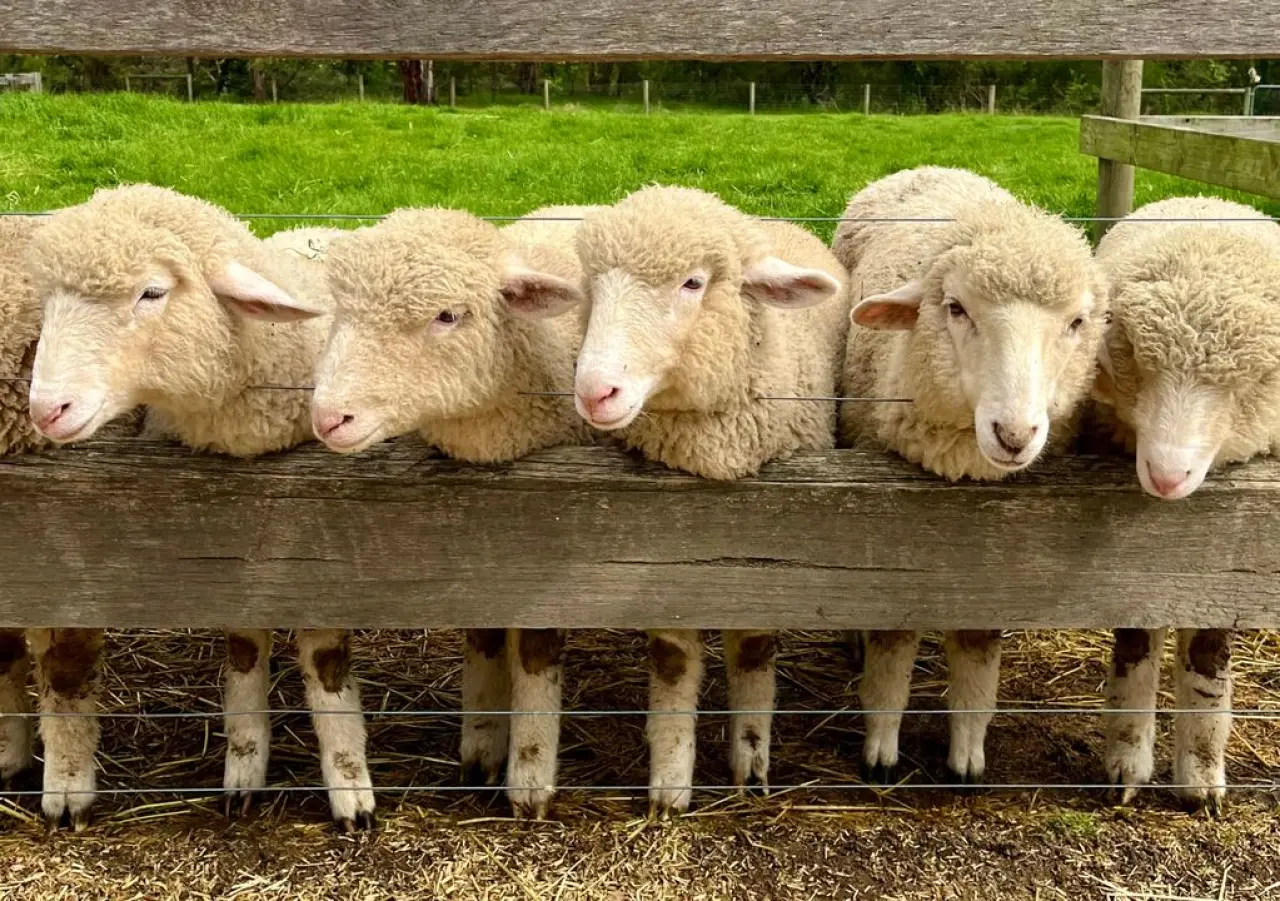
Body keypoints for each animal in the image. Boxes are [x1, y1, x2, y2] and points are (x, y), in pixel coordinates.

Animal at [23, 184, 376, 831]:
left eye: (152, 291)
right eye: (48, 301)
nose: (46, 409)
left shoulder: (320, 530)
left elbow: (324, 658)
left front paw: (350, 790)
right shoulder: (225, 538)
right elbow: (244, 647)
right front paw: (243, 770)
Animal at [264, 203, 598, 819]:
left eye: (447, 315)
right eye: (340, 312)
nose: (329, 417)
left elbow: (535, 650)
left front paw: (528, 779)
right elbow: (484, 633)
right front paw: (482, 747)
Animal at [538, 185, 850, 815]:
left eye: (693, 283)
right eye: (592, 289)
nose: (594, 391)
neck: (715, 458)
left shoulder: (774, 554)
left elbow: (753, 650)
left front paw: (750, 770)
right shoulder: (660, 557)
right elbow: (673, 661)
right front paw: (669, 786)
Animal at [832, 166, 1106, 784]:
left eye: (1077, 322)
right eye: (956, 308)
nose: (1014, 434)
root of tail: (933, 167)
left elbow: (978, 649)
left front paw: (968, 754)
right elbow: (892, 642)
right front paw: (881, 747)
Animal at [1091, 195, 1280, 814]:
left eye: (1258, 378)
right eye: (1132, 358)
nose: (1167, 476)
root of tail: (1209, 200)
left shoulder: (1231, 558)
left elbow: (1208, 656)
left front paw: (1200, 777)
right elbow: (1135, 642)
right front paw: (1126, 762)